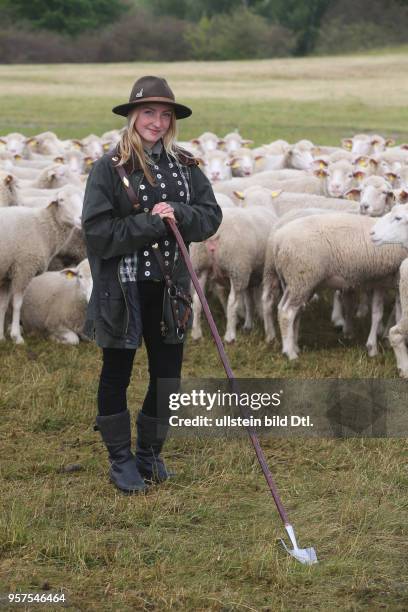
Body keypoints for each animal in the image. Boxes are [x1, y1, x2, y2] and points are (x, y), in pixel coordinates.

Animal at [0, 184, 82, 342]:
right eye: (61, 200)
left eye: (82, 198)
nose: (82, 218)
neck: (42, 225)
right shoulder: (24, 268)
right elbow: (17, 304)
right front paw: (16, 337)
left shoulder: (7, 274)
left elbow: (3, 305)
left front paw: (1, 337)